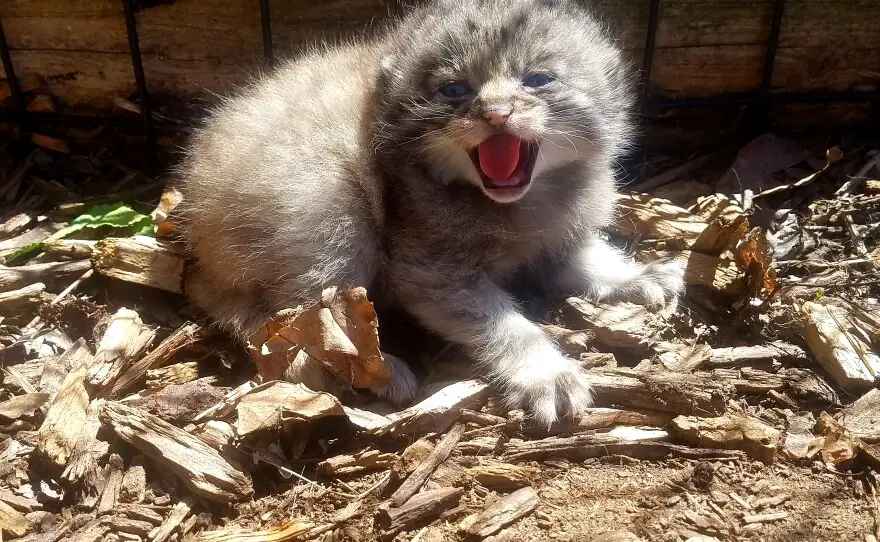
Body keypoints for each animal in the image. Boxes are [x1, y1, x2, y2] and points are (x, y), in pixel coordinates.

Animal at [175, 0, 684, 428]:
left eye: (538, 79)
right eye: (454, 89)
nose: (495, 113)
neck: (518, 204)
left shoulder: (556, 235)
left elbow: (585, 256)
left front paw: (635, 275)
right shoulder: (430, 271)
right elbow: (504, 322)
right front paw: (545, 372)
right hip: (328, 204)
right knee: (299, 329)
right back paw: (374, 370)